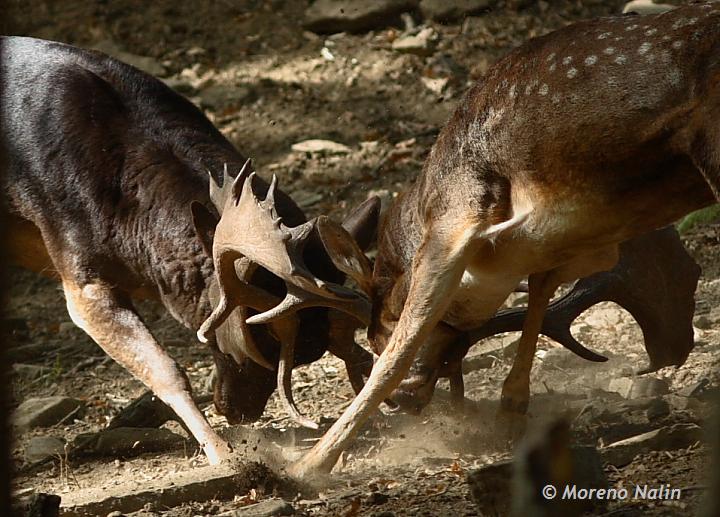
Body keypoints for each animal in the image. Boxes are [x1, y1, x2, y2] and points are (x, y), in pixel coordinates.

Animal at [0, 36, 380, 464]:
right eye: (255, 338)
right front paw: (222, 452)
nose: (235, 410)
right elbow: (165, 369)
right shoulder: (79, 274)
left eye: (309, 354)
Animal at [200, 2, 720, 476]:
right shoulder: (579, 241)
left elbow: (404, 345)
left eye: (375, 331)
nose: (406, 403)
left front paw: (308, 466)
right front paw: (511, 408)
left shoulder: (455, 221)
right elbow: (539, 291)